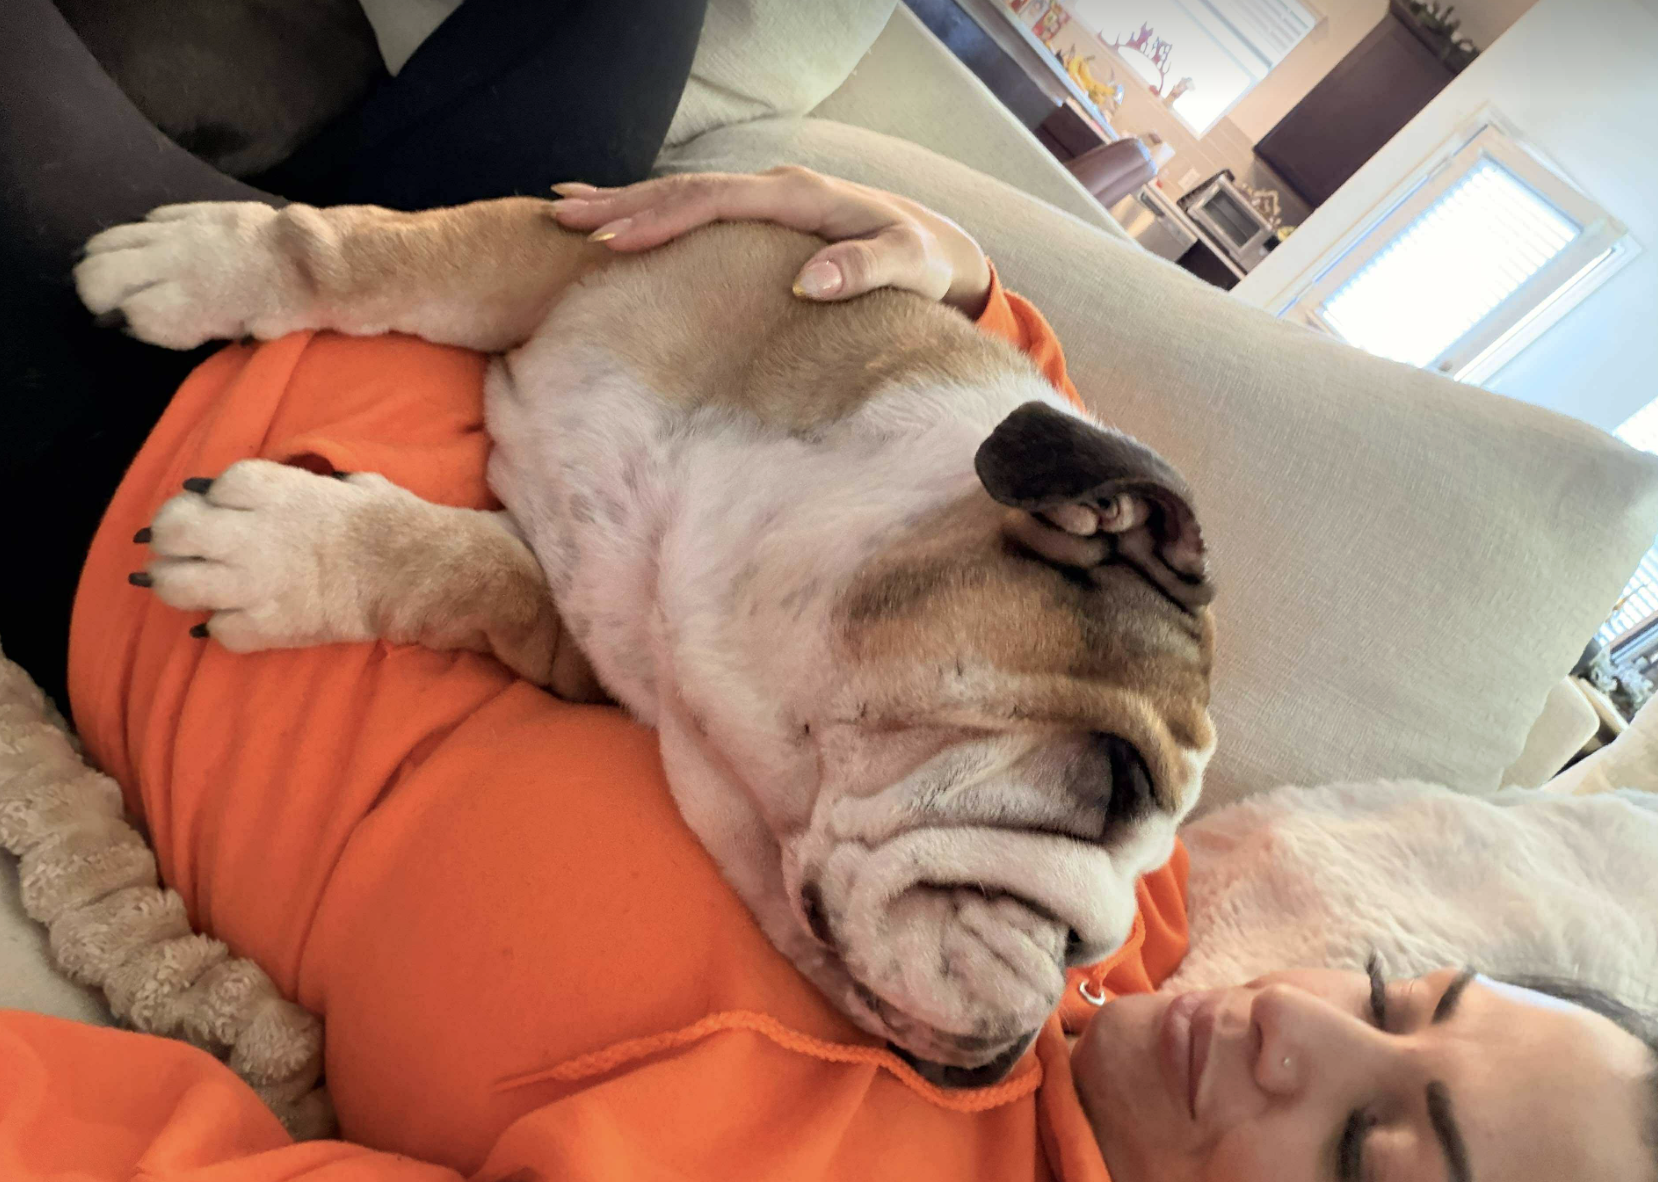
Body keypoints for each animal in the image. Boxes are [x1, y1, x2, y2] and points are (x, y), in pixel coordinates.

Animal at [74, 186, 1216, 1087]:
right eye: (1113, 778)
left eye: (1099, 966)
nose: (1051, 1001)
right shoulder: (585, 246)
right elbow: (361, 251)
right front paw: (200, 264)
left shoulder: (573, 639)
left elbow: (469, 567)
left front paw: (278, 550)